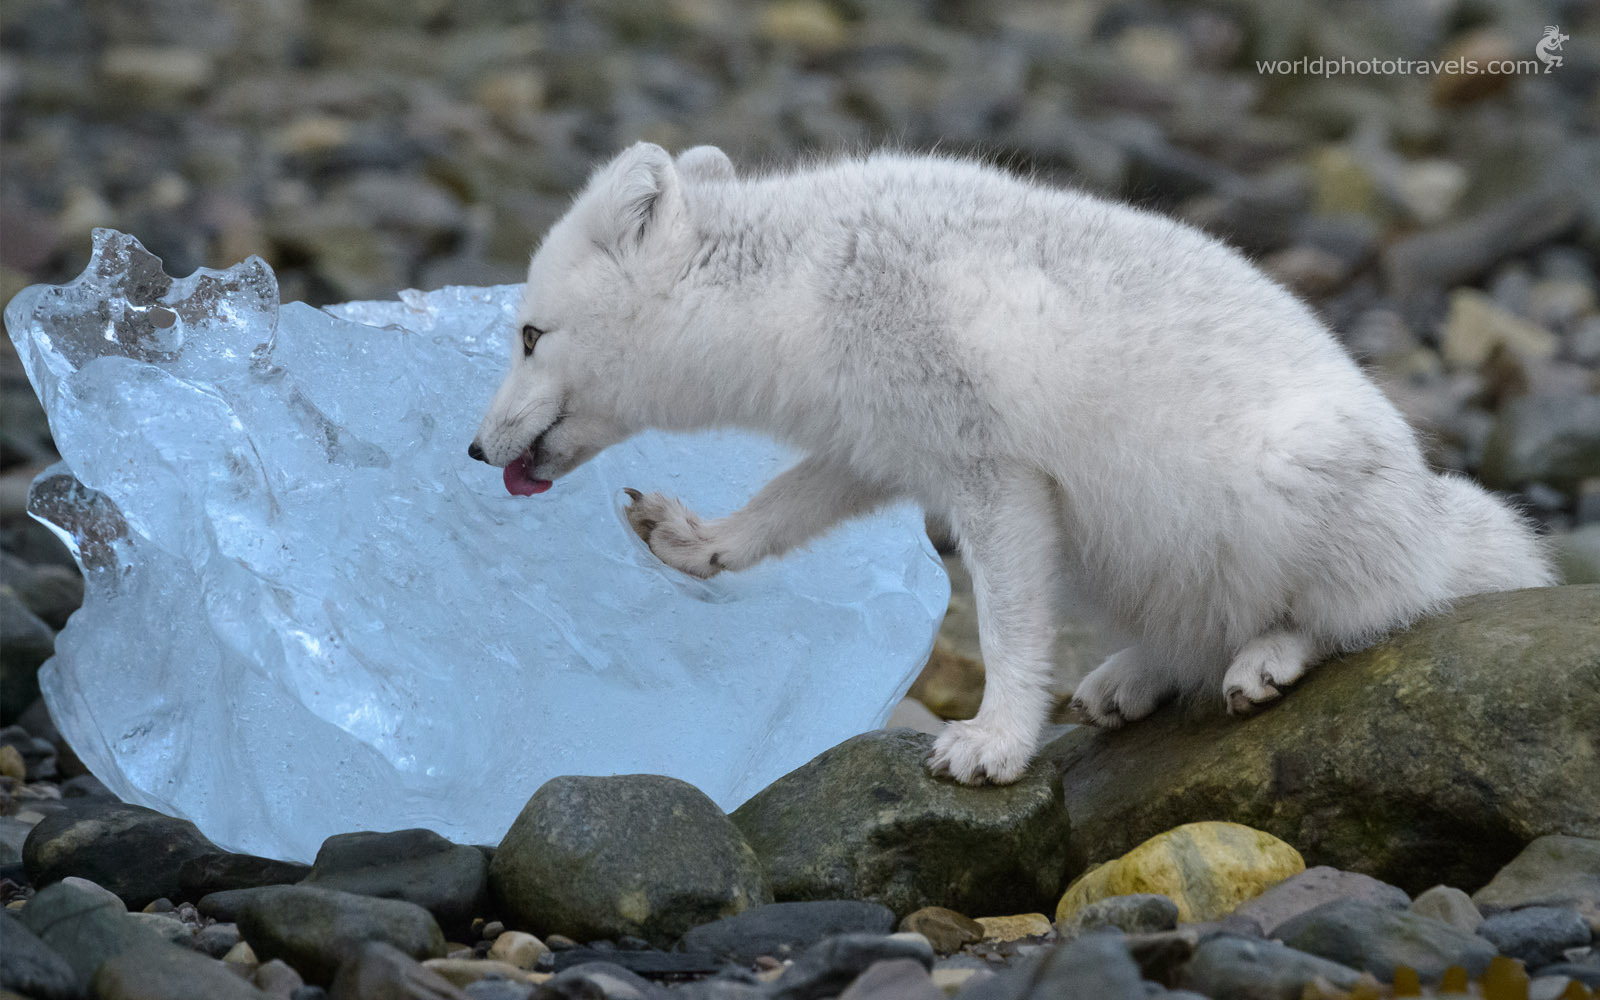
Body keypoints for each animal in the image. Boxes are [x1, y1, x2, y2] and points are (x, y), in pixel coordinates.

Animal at [467, 142, 1555, 780]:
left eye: (528, 335)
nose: (476, 448)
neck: (803, 286)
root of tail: (1437, 515)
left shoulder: (995, 472)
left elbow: (1005, 628)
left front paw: (993, 742)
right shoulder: (880, 447)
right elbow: (781, 506)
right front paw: (698, 543)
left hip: (1287, 492)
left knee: (1364, 613)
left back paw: (1269, 656)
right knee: (1192, 634)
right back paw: (1131, 680)